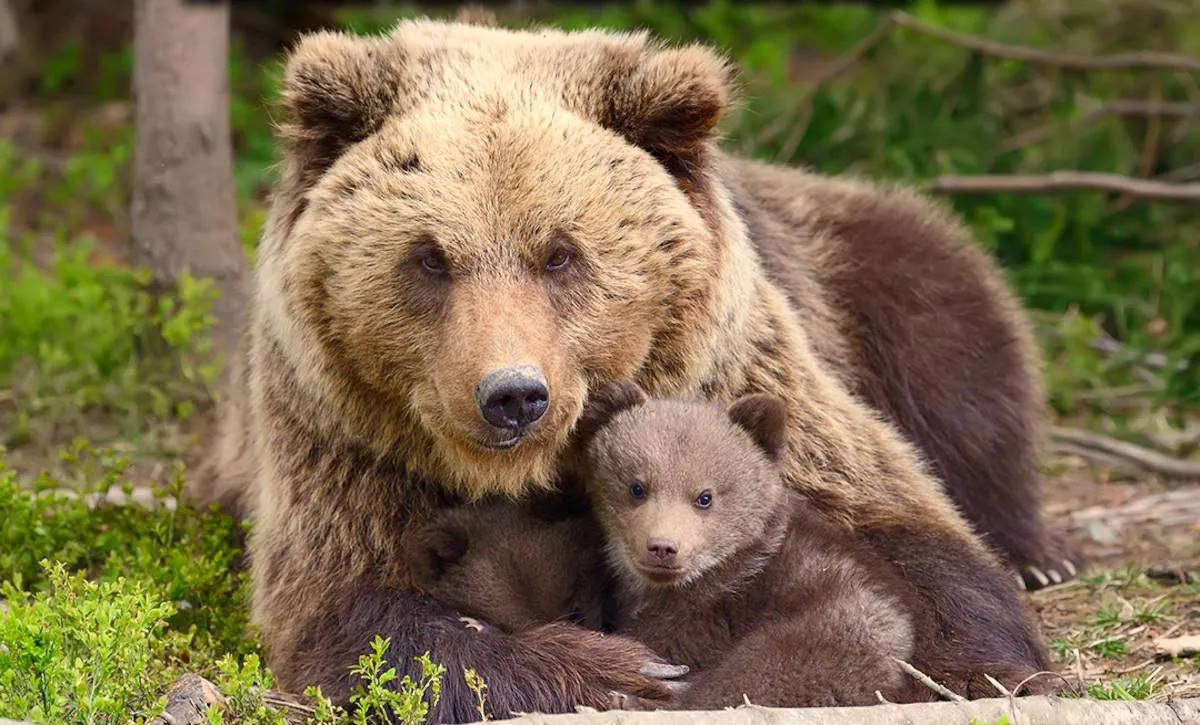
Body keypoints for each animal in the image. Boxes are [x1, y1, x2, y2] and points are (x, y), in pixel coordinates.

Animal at [194, 16, 1070, 720]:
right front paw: (620, 668)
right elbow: (360, 618)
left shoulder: (737, 379)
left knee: (957, 348)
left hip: (856, 264)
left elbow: (914, 534)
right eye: (430, 257)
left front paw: (980, 662)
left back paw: (1039, 552)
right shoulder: (344, 444)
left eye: (560, 253)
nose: (513, 395)